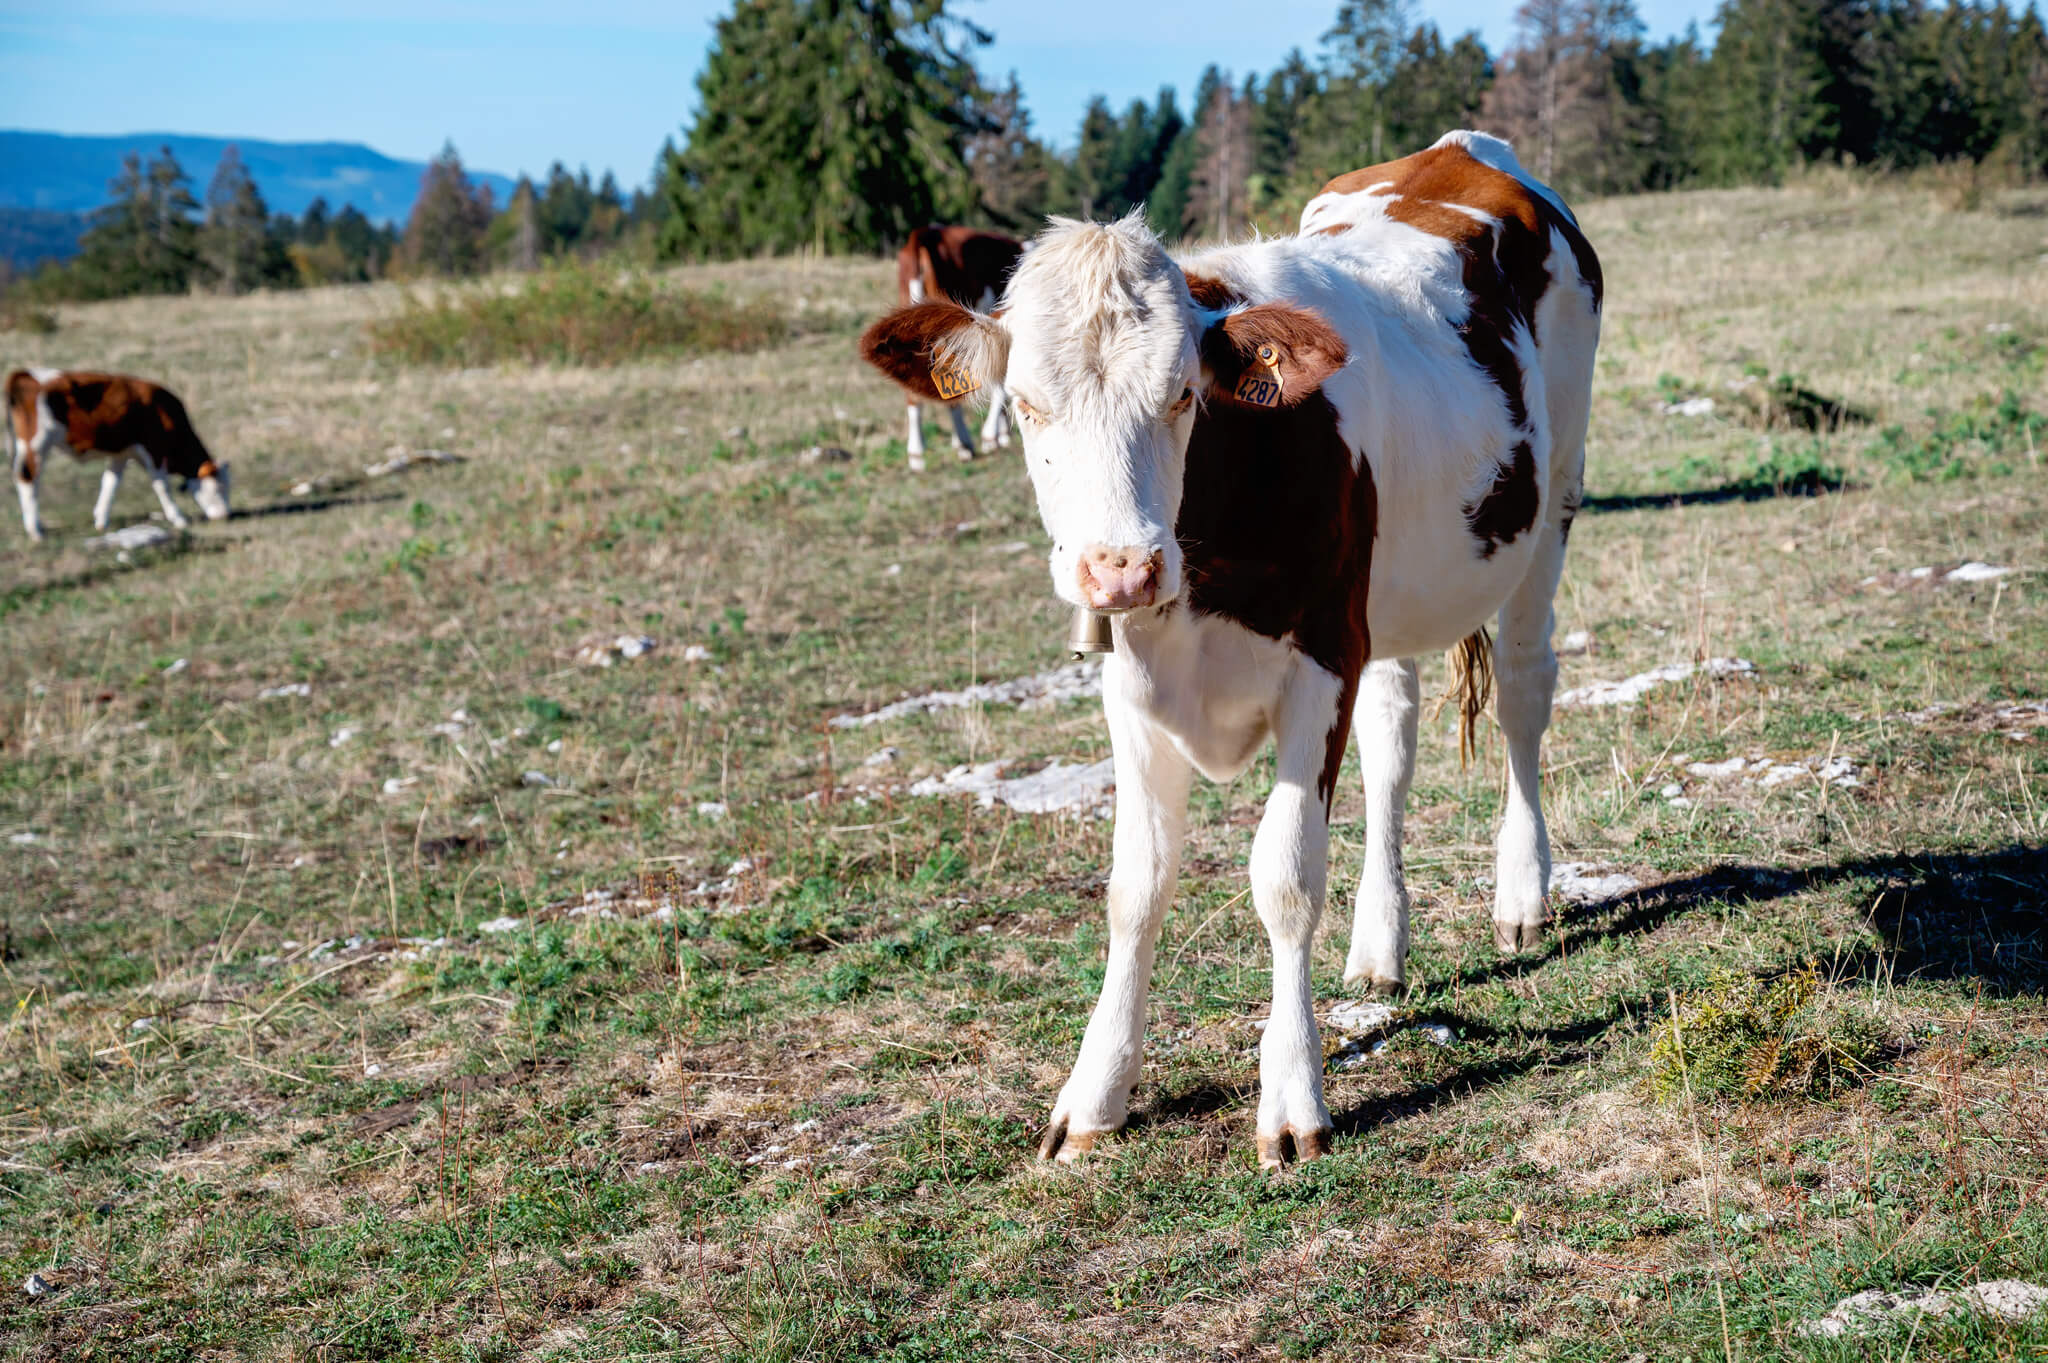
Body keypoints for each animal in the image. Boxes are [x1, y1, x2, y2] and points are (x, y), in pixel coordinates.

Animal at [7, 368, 229, 540]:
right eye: (218, 488)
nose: (226, 515)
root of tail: (26, 374)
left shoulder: (121, 454)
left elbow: (110, 484)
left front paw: (101, 519)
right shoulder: (154, 450)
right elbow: (161, 486)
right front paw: (178, 518)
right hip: (36, 445)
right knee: (28, 480)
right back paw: (35, 531)